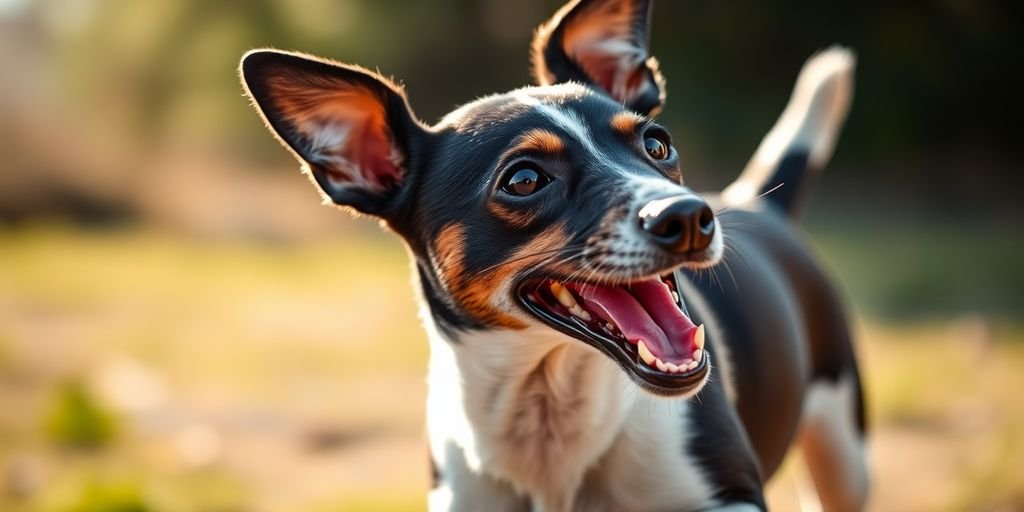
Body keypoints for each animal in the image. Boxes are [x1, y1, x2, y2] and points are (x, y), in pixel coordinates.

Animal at [237, 0, 864, 509]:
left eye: (657, 144)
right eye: (524, 180)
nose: (688, 215)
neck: (547, 415)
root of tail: (758, 202)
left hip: (843, 453)